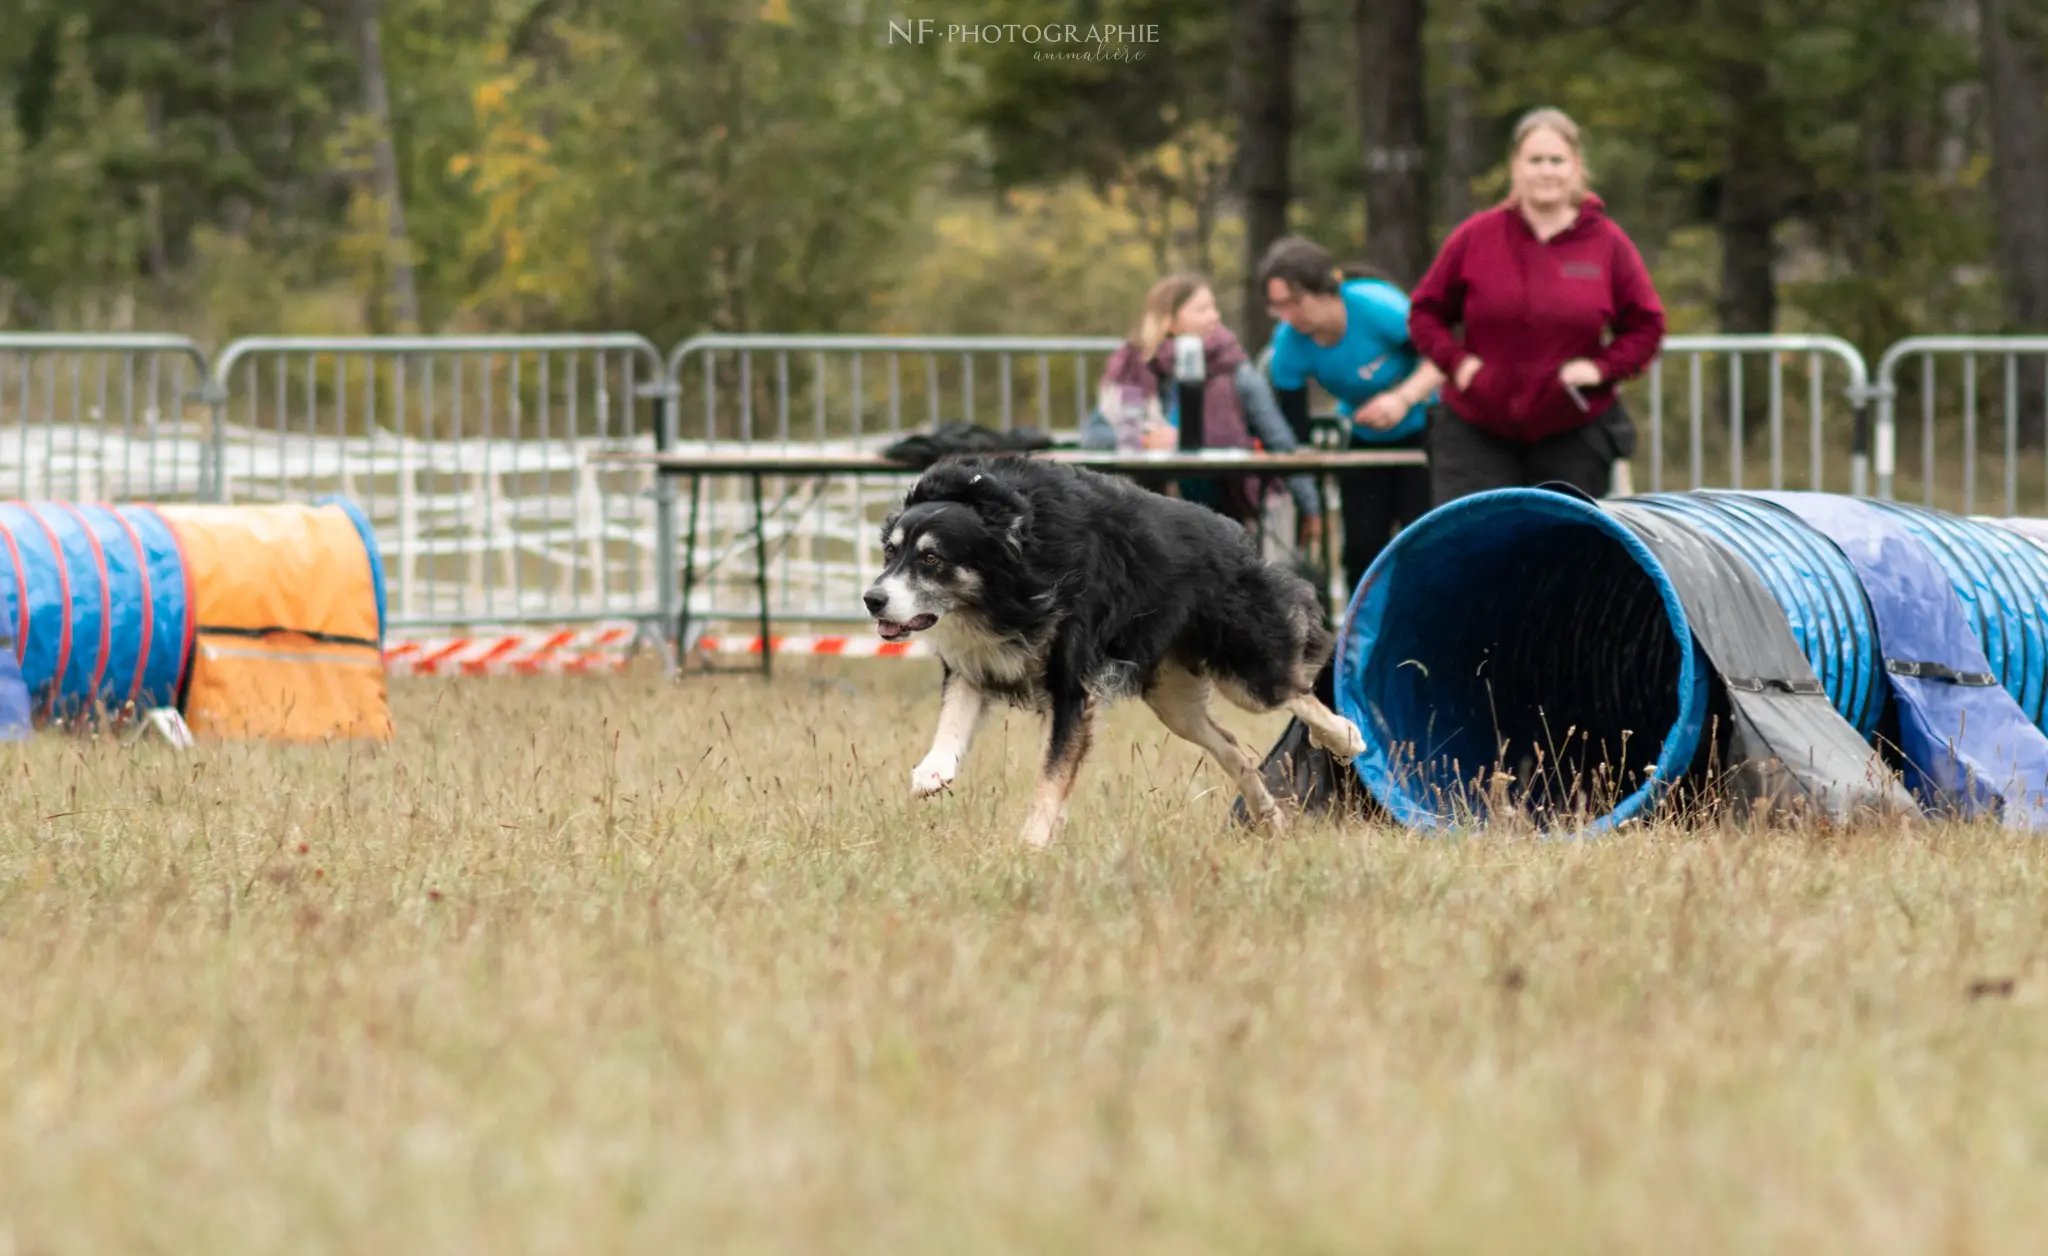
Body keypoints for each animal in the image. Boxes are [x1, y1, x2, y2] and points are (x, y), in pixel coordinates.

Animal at [856, 450, 1368, 844]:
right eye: (890, 552)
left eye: (931, 558)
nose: (872, 599)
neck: (1017, 564)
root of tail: (1239, 539)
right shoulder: (977, 658)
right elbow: (954, 714)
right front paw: (933, 770)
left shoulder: (1071, 687)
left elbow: (1052, 772)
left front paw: (1031, 843)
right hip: (1172, 699)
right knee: (1232, 747)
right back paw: (1270, 818)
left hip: (1245, 669)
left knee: (1295, 691)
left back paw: (1345, 735)